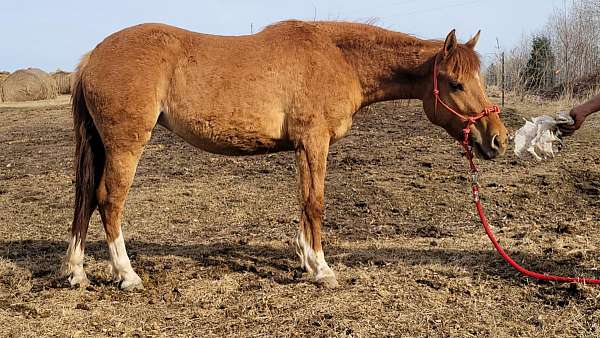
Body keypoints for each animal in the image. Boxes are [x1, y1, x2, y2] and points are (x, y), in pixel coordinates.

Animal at [63, 21, 506, 290]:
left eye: (478, 79)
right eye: (455, 83)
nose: (498, 139)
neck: (338, 57)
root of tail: (92, 57)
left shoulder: (302, 147)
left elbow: (304, 201)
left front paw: (306, 259)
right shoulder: (314, 142)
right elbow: (315, 203)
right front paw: (321, 269)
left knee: (85, 201)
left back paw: (77, 273)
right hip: (125, 146)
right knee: (109, 202)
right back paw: (127, 275)